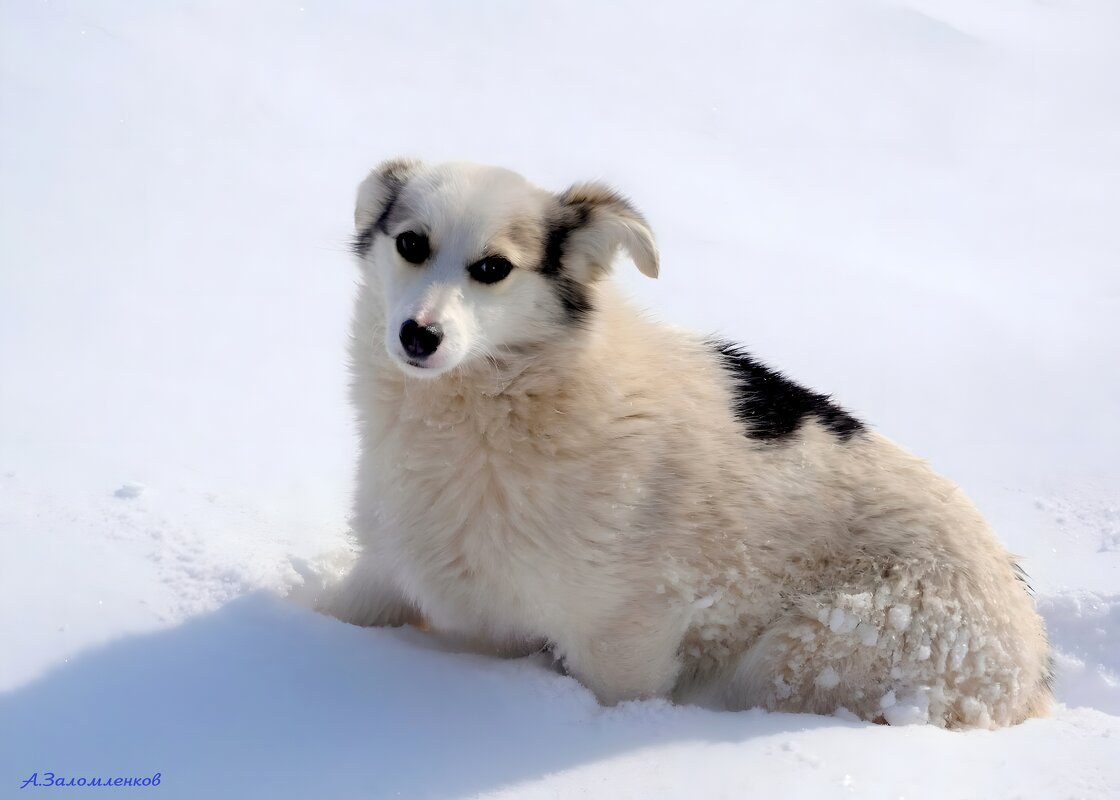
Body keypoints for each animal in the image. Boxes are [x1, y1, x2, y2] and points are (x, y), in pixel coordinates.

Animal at [322, 159, 1048, 726]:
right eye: (410, 243)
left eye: (493, 268)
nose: (419, 336)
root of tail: (1030, 661)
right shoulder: (385, 572)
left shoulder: (621, 639)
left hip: (806, 652)